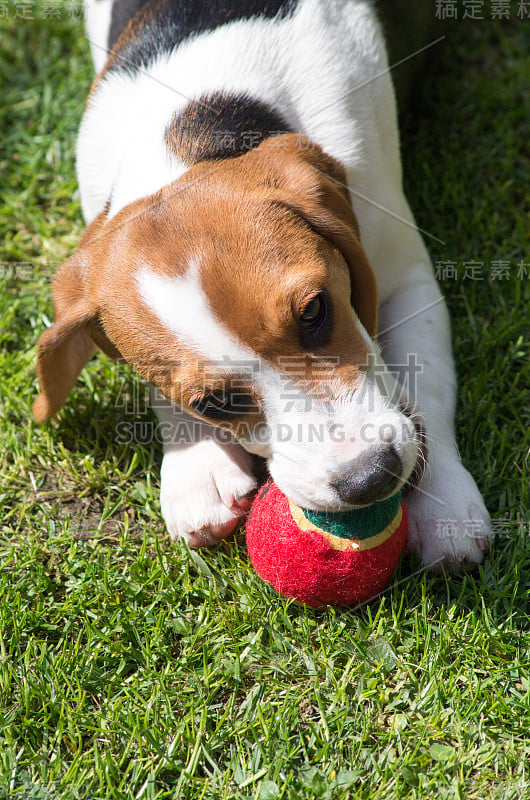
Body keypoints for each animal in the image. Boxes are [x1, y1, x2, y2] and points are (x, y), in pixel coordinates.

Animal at [36, 0, 490, 568]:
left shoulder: (408, 279)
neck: (191, 127)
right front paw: (196, 465)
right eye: (213, 404)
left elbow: (427, 380)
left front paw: (445, 499)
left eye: (315, 312)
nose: (370, 477)